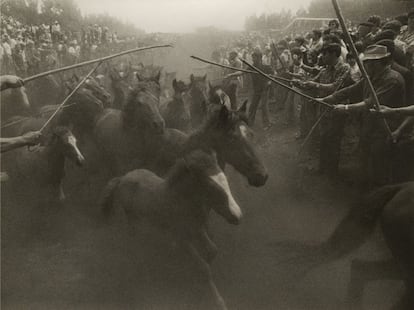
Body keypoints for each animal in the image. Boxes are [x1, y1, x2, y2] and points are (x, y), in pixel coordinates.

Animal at [101, 149, 241, 308]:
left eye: (225, 180)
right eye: (211, 187)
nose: (237, 215)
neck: (181, 200)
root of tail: (123, 177)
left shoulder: (198, 229)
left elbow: (212, 251)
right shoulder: (181, 238)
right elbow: (203, 268)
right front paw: (218, 302)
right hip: (131, 214)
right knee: (132, 231)